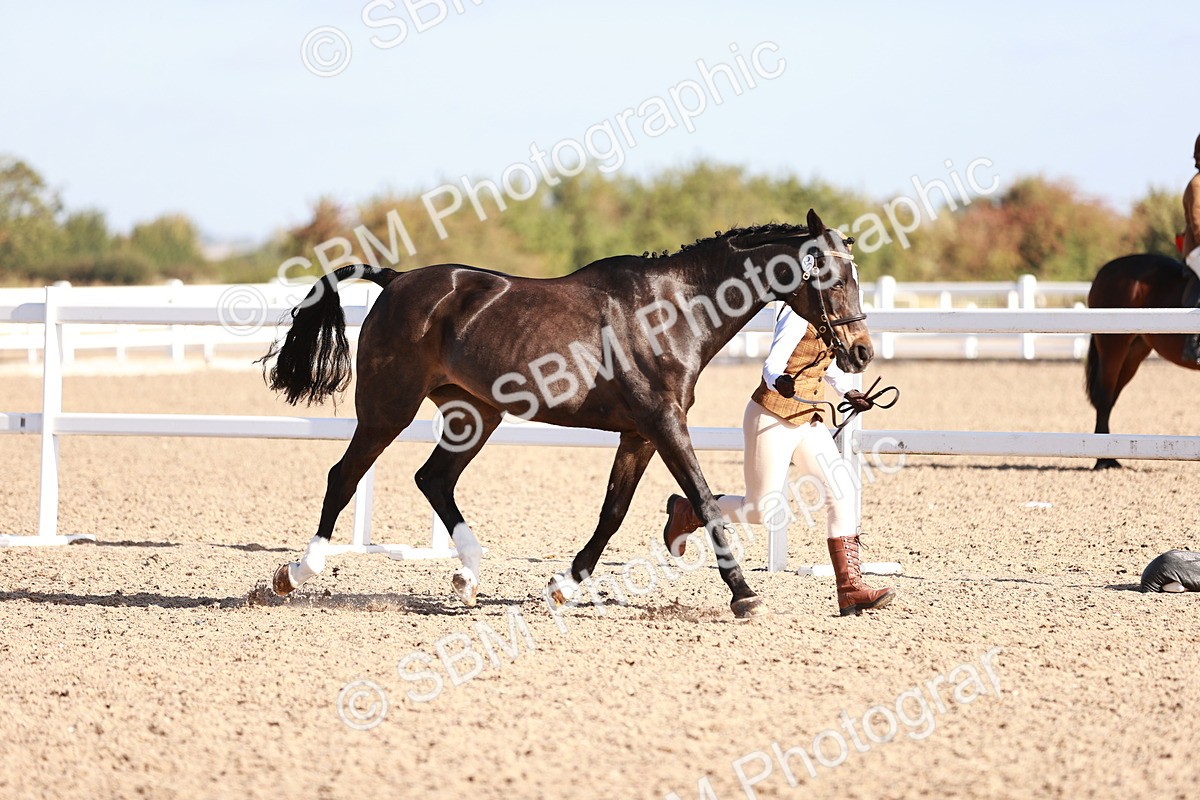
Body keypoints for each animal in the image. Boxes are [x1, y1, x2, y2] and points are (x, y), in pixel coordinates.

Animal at [261, 208, 872, 618]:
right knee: (344, 477)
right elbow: (701, 499)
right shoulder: (663, 424)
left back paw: (468, 578)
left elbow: (613, 512)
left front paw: (564, 585)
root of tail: (396, 281)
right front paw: (745, 596)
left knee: (432, 478)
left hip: (475, 414)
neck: (674, 310)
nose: (861, 353)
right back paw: (295, 574)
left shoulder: (639, 434)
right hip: (388, 409)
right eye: (829, 275)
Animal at [1085, 253, 1199, 469]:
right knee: (1104, 398)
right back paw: (1103, 460)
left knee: (1110, 398)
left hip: (1133, 353)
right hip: (1112, 347)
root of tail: (1106, 269)